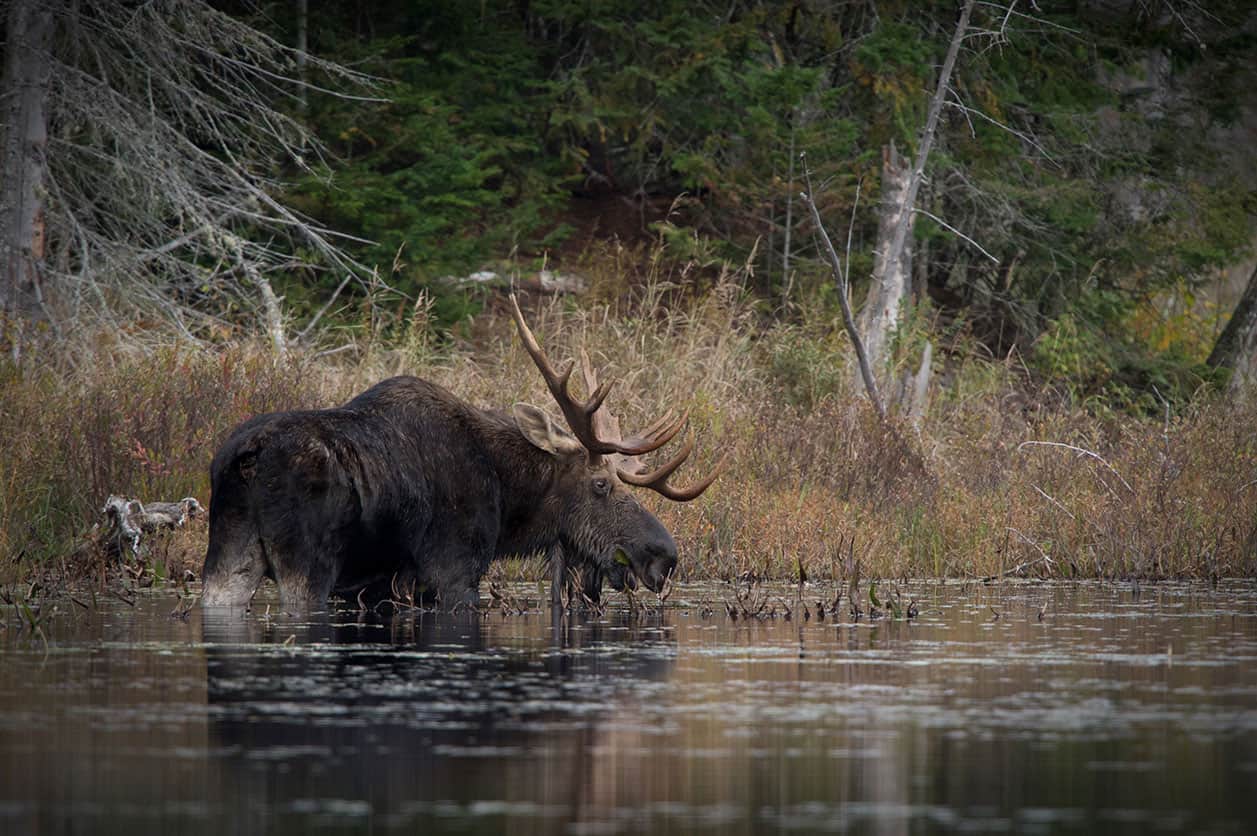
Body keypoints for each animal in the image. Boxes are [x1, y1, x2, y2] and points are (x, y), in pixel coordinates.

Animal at [201, 292, 724, 605]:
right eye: (601, 484)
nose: (664, 556)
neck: (509, 498)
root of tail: (248, 459)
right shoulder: (453, 569)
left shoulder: (378, 585)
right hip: (306, 566)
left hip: (226, 555)